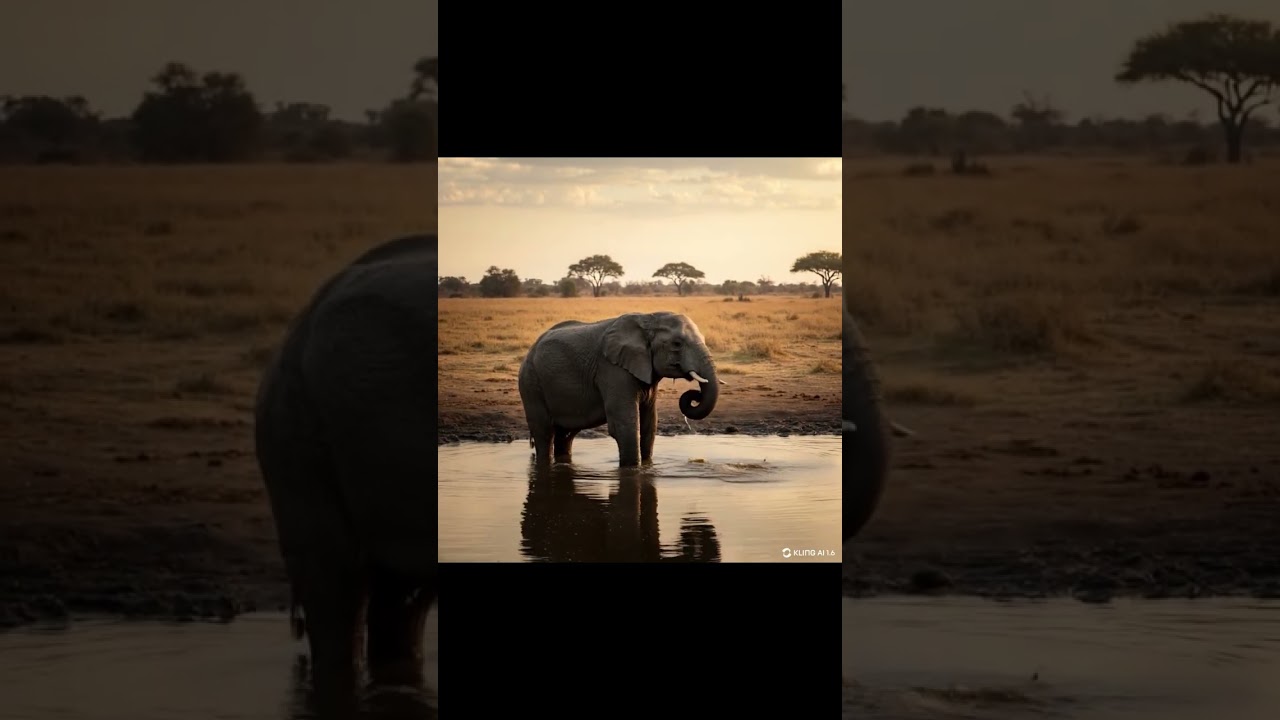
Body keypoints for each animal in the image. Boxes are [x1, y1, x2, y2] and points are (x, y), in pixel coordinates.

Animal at [518, 311, 722, 467]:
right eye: (677, 344)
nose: (695, 395)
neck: (648, 319)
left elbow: (649, 423)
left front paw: (647, 466)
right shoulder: (612, 369)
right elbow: (625, 424)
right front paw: (633, 469)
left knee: (566, 435)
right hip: (530, 383)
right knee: (544, 432)